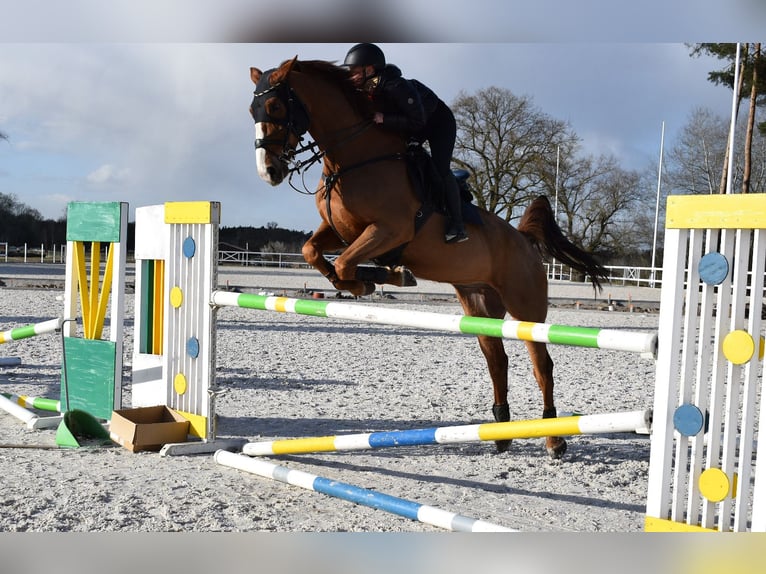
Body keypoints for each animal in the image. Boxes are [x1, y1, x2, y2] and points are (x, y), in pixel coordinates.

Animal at [248, 57, 609, 458]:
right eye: (252, 110)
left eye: (275, 107)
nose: (269, 172)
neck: (354, 159)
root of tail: (523, 239)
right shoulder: (339, 230)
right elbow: (313, 252)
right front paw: (364, 281)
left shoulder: (389, 230)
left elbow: (344, 262)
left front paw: (383, 277)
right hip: (479, 305)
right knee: (497, 360)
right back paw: (501, 434)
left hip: (526, 308)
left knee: (541, 365)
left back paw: (553, 439)